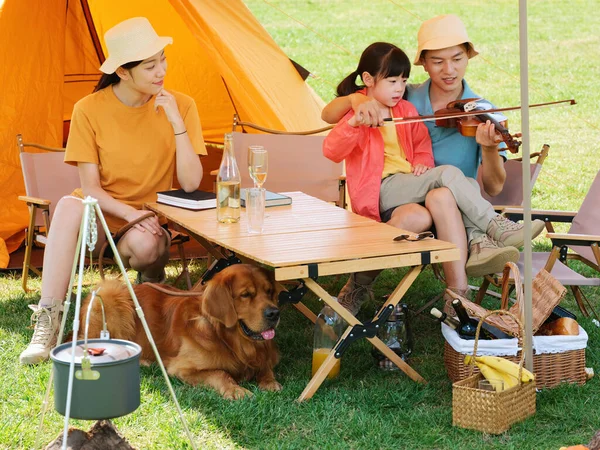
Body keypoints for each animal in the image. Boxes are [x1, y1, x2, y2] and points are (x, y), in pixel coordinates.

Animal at [81, 266, 282, 400]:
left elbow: (265, 366)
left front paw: (269, 381)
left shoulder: (264, 354)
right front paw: (235, 390)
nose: (274, 313)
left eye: (269, 291)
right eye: (246, 295)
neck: (228, 340)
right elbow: (220, 373)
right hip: (110, 292)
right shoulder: (182, 368)